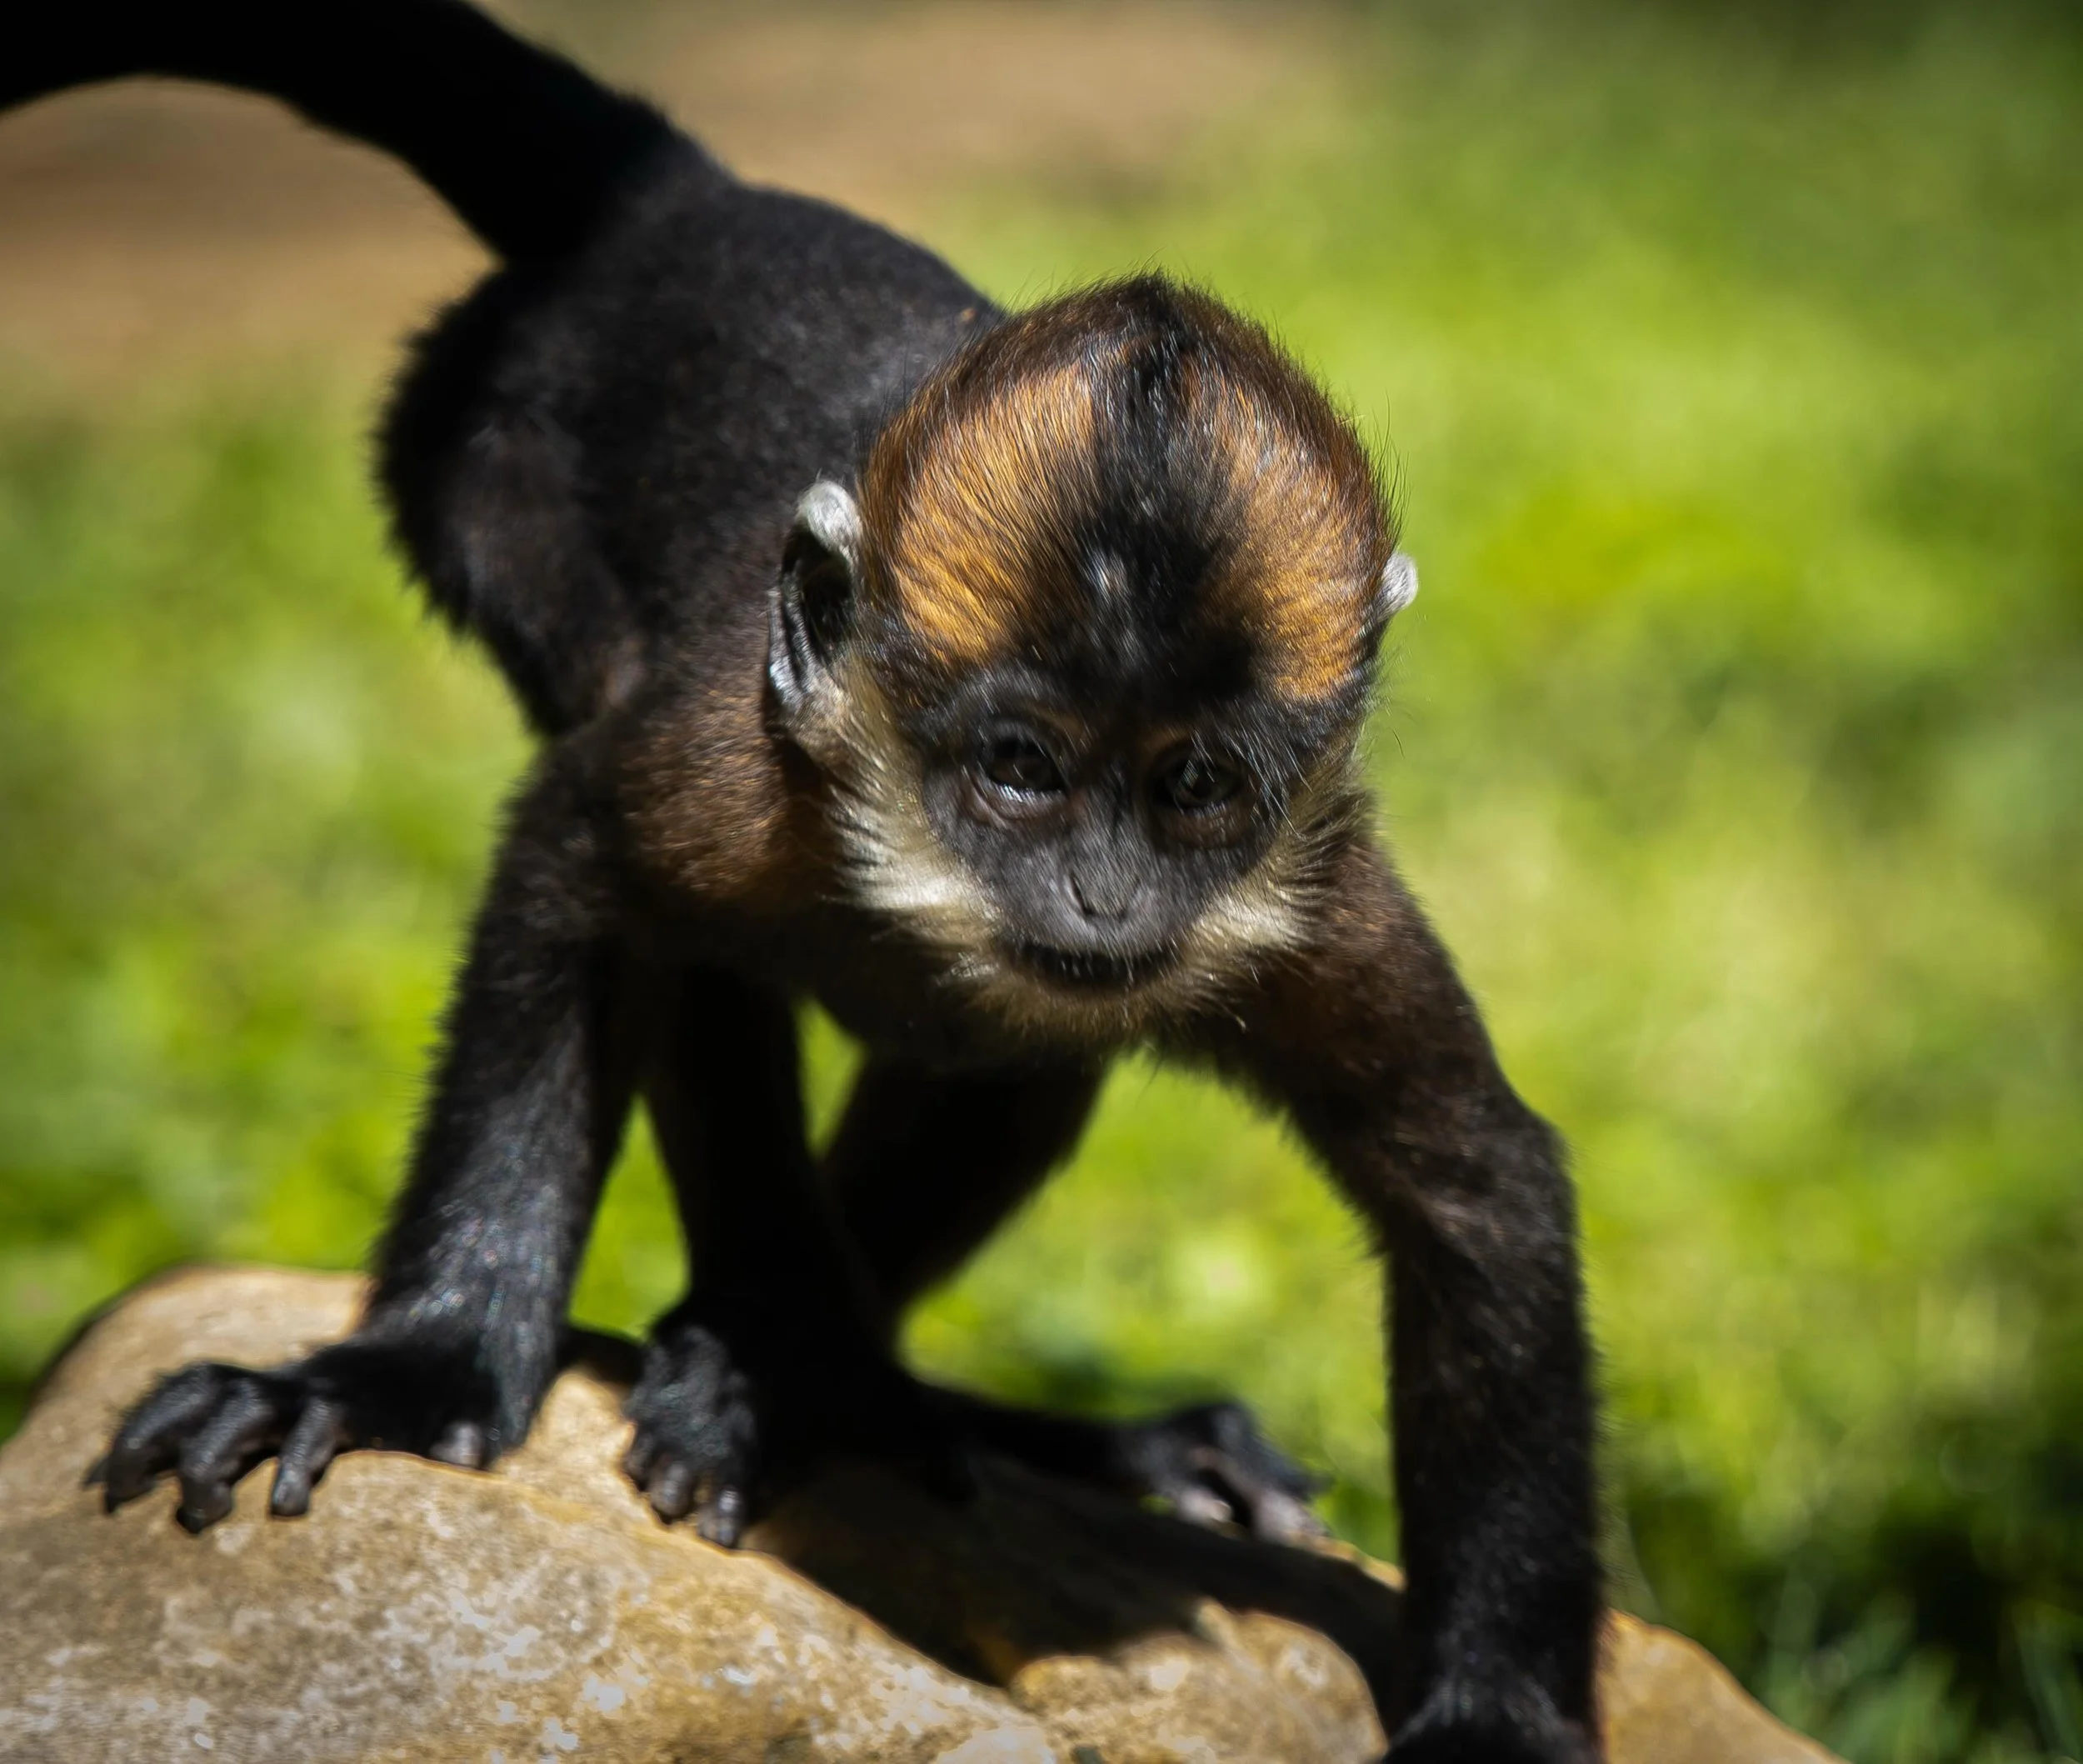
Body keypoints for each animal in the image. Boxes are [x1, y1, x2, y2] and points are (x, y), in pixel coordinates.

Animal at [6, 5, 1602, 1758]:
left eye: (1195, 787)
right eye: (1022, 768)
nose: (1105, 903)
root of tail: (675, 200)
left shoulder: (1311, 902)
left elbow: (1477, 1192)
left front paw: (1499, 1710)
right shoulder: (728, 774)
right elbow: (572, 874)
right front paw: (418, 1375)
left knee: (1022, 1058)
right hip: (480, 467)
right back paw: (803, 1366)